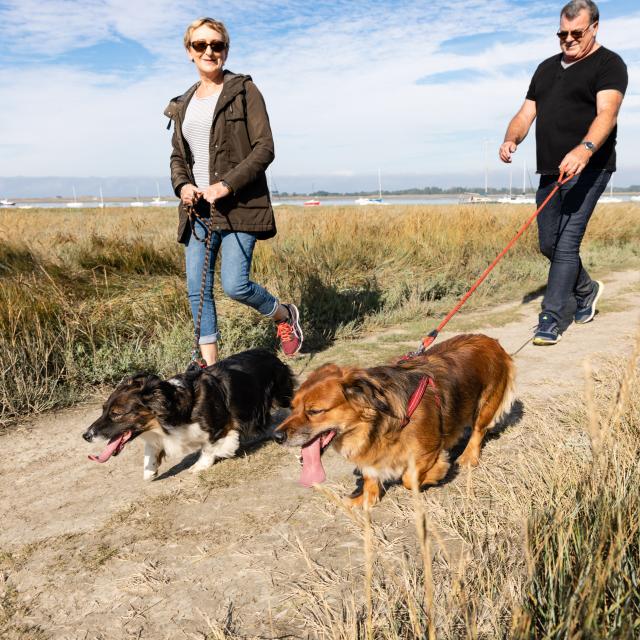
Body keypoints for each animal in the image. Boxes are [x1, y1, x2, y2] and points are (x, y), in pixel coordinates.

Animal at [82, 350, 296, 480]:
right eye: (103, 409)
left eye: (116, 414)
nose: (86, 435)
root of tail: (270, 354)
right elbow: (151, 448)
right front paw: (149, 469)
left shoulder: (221, 425)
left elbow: (210, 446)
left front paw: (200, 465)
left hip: (280, 395)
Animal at [274, 336, 516, 504]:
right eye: (292, 407)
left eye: (314, 411)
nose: (276, 436)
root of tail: (490, 341)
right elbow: (370, 475)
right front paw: (365, 499)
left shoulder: (427, 450)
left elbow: (409, 478)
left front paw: (435, 473)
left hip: (486, 404)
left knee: (478, 430)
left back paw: (468, 456)